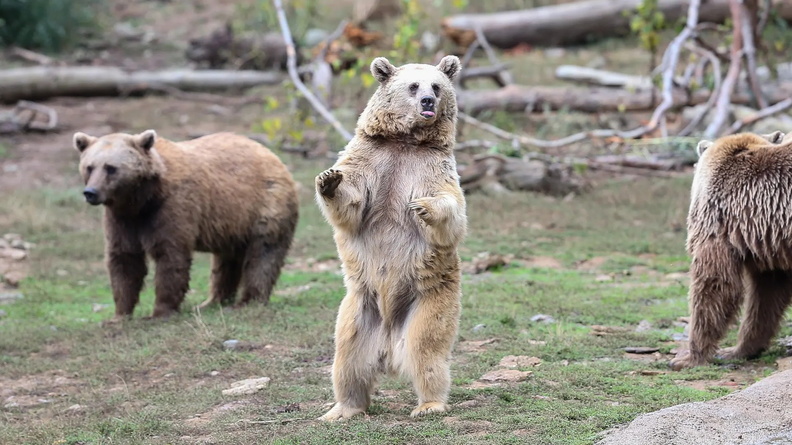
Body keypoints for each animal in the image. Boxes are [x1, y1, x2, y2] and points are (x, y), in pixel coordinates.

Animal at [73, 130, 299, 321]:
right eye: (89, 167)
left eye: (110, 168)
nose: (91, 192)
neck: (141, 200)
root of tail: (273, 156)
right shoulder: (122, 219)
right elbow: (125, 260)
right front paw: (119, 315)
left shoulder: (172, 207)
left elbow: (170, 257)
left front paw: (160, 312)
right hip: (232, 223)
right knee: (226, 262)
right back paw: (212, 301)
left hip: (265, 205)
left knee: (264, 254)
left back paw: (248, 301)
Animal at [315, 55, 467, 420]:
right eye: (413, 86)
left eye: (436, 86)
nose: (427, 102)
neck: (405, 142)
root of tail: (386, 348)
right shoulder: (372, 160)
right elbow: (352, 204)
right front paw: (329, 180)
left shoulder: (432, 167)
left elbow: (452, 211)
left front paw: (423, 206)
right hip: (359, 308)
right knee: (348, 359)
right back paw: (343, 408)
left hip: (428, 299)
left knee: (426, 351)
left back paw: (428, 404)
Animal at [670, 130, 792, 370]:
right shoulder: (769, 242)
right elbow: (767, 296)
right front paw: (737, 350)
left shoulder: (720, 220)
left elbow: (714, 283)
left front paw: (687, 357)